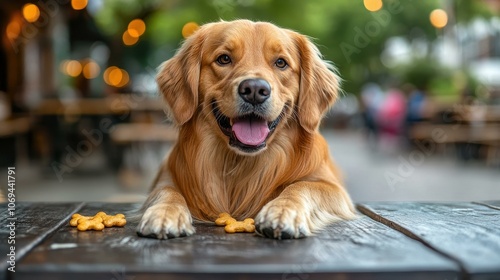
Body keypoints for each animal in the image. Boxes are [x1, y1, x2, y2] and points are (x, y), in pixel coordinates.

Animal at [137, 19, 356, 240]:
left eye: (281, 63)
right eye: (224, 59)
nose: (255, 90)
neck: (240, 163)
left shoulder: (333, 188)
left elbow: (301, 186)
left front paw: (283, 211)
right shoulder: (167, 176)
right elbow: (167, 191)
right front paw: (164, 213)